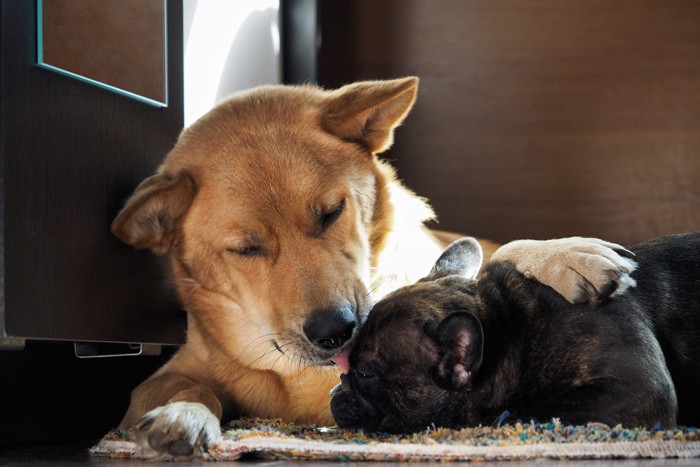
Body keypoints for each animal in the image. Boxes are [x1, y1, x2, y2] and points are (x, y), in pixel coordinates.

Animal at [110, 77, 636, 458]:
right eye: (247, 249)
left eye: (331, 213)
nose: (336, 331)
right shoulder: (164, 378)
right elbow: (185, 387)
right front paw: (184, 415)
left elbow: (502, 253)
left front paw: (562, 255)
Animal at [332, 234, 700, 436]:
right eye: (346, 368)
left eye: (365, 374)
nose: (338, 386)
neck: (511, 332)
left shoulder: (638, 388)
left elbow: (525, 410)